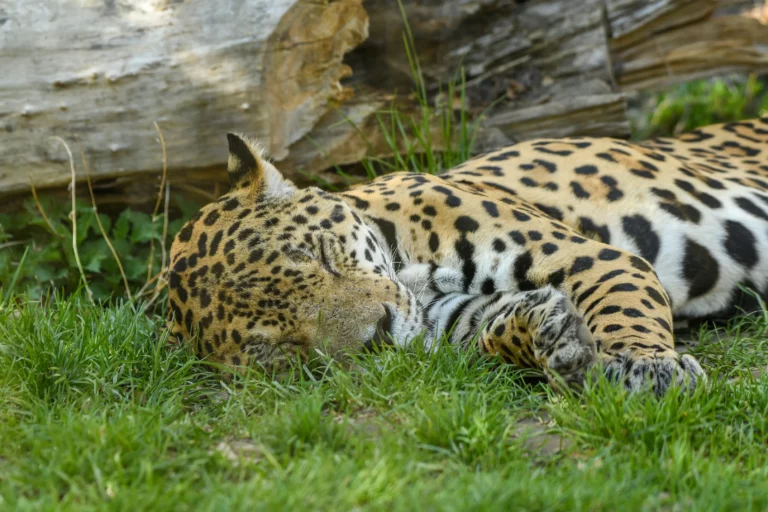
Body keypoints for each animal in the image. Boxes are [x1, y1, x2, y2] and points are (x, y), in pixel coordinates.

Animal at [168, 116, 768, 395]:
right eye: (286, 348)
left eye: (321, 255)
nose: (377, 335)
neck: (412, 271)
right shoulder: (447, 322)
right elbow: (491, 330)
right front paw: (549, 334)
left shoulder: (594, 258)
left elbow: (624, 308)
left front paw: (646, 367)